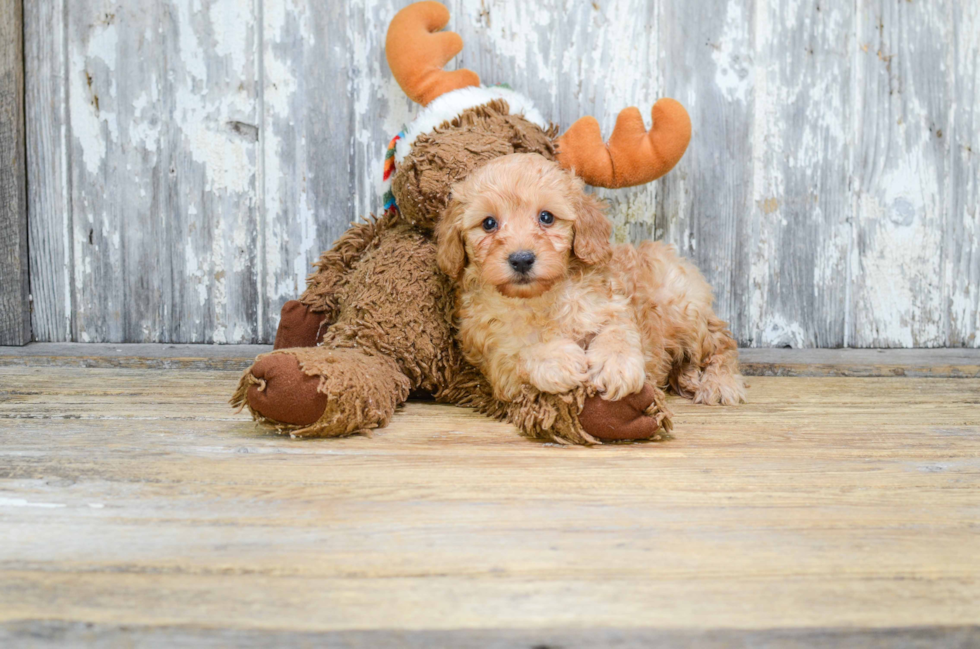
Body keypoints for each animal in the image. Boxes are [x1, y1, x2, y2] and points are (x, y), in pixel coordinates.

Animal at [436, 152, 744, 404]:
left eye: (546, 217)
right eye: (489, 223)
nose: (522, 259)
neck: (540, 298)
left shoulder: (613, 305)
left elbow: (617, 333)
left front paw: (615, 366)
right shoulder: (494, 357)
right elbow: (520, 351)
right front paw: (556, 358)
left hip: (682, 310)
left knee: (722, 343)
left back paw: (719, 383)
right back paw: (688, 377)